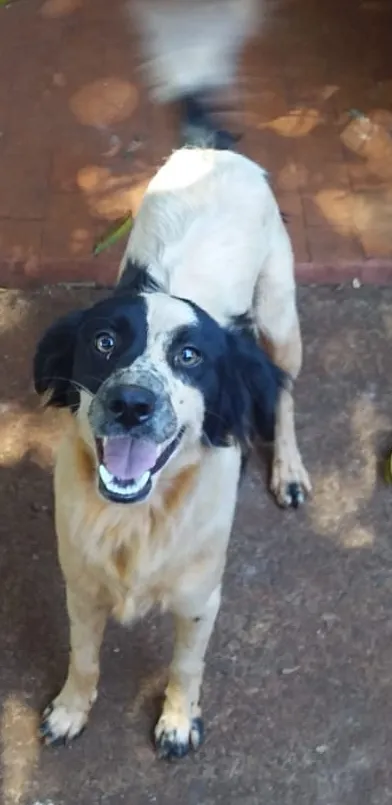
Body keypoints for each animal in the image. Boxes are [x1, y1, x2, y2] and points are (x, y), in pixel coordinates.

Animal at [33, 0, 310, 760]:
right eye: (104, 343)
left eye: (191, 357)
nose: (132, 403)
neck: (137, 520)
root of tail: (212, 148)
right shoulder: (78, 588)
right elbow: (84, 658)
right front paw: (71, 709)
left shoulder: (199, 600)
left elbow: (187, 666)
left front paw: (179, 720)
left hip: (281, 318)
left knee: (284, 393)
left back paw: (290, 469)